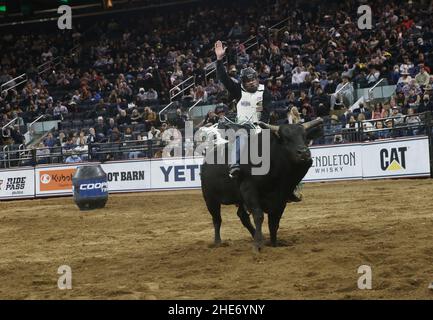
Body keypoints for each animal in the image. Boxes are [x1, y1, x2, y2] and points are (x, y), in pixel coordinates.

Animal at [199, 117, 320, 250]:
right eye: (285, 138)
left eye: (305, 137)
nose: (303, 153)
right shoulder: (249, 190)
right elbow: (259, 215)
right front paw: (257, 245)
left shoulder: (282, 196)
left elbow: (274, 222)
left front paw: (273, 243)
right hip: (210, 199)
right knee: (217, 219)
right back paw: (218, 242)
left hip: (240, 199)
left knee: (242, 216)